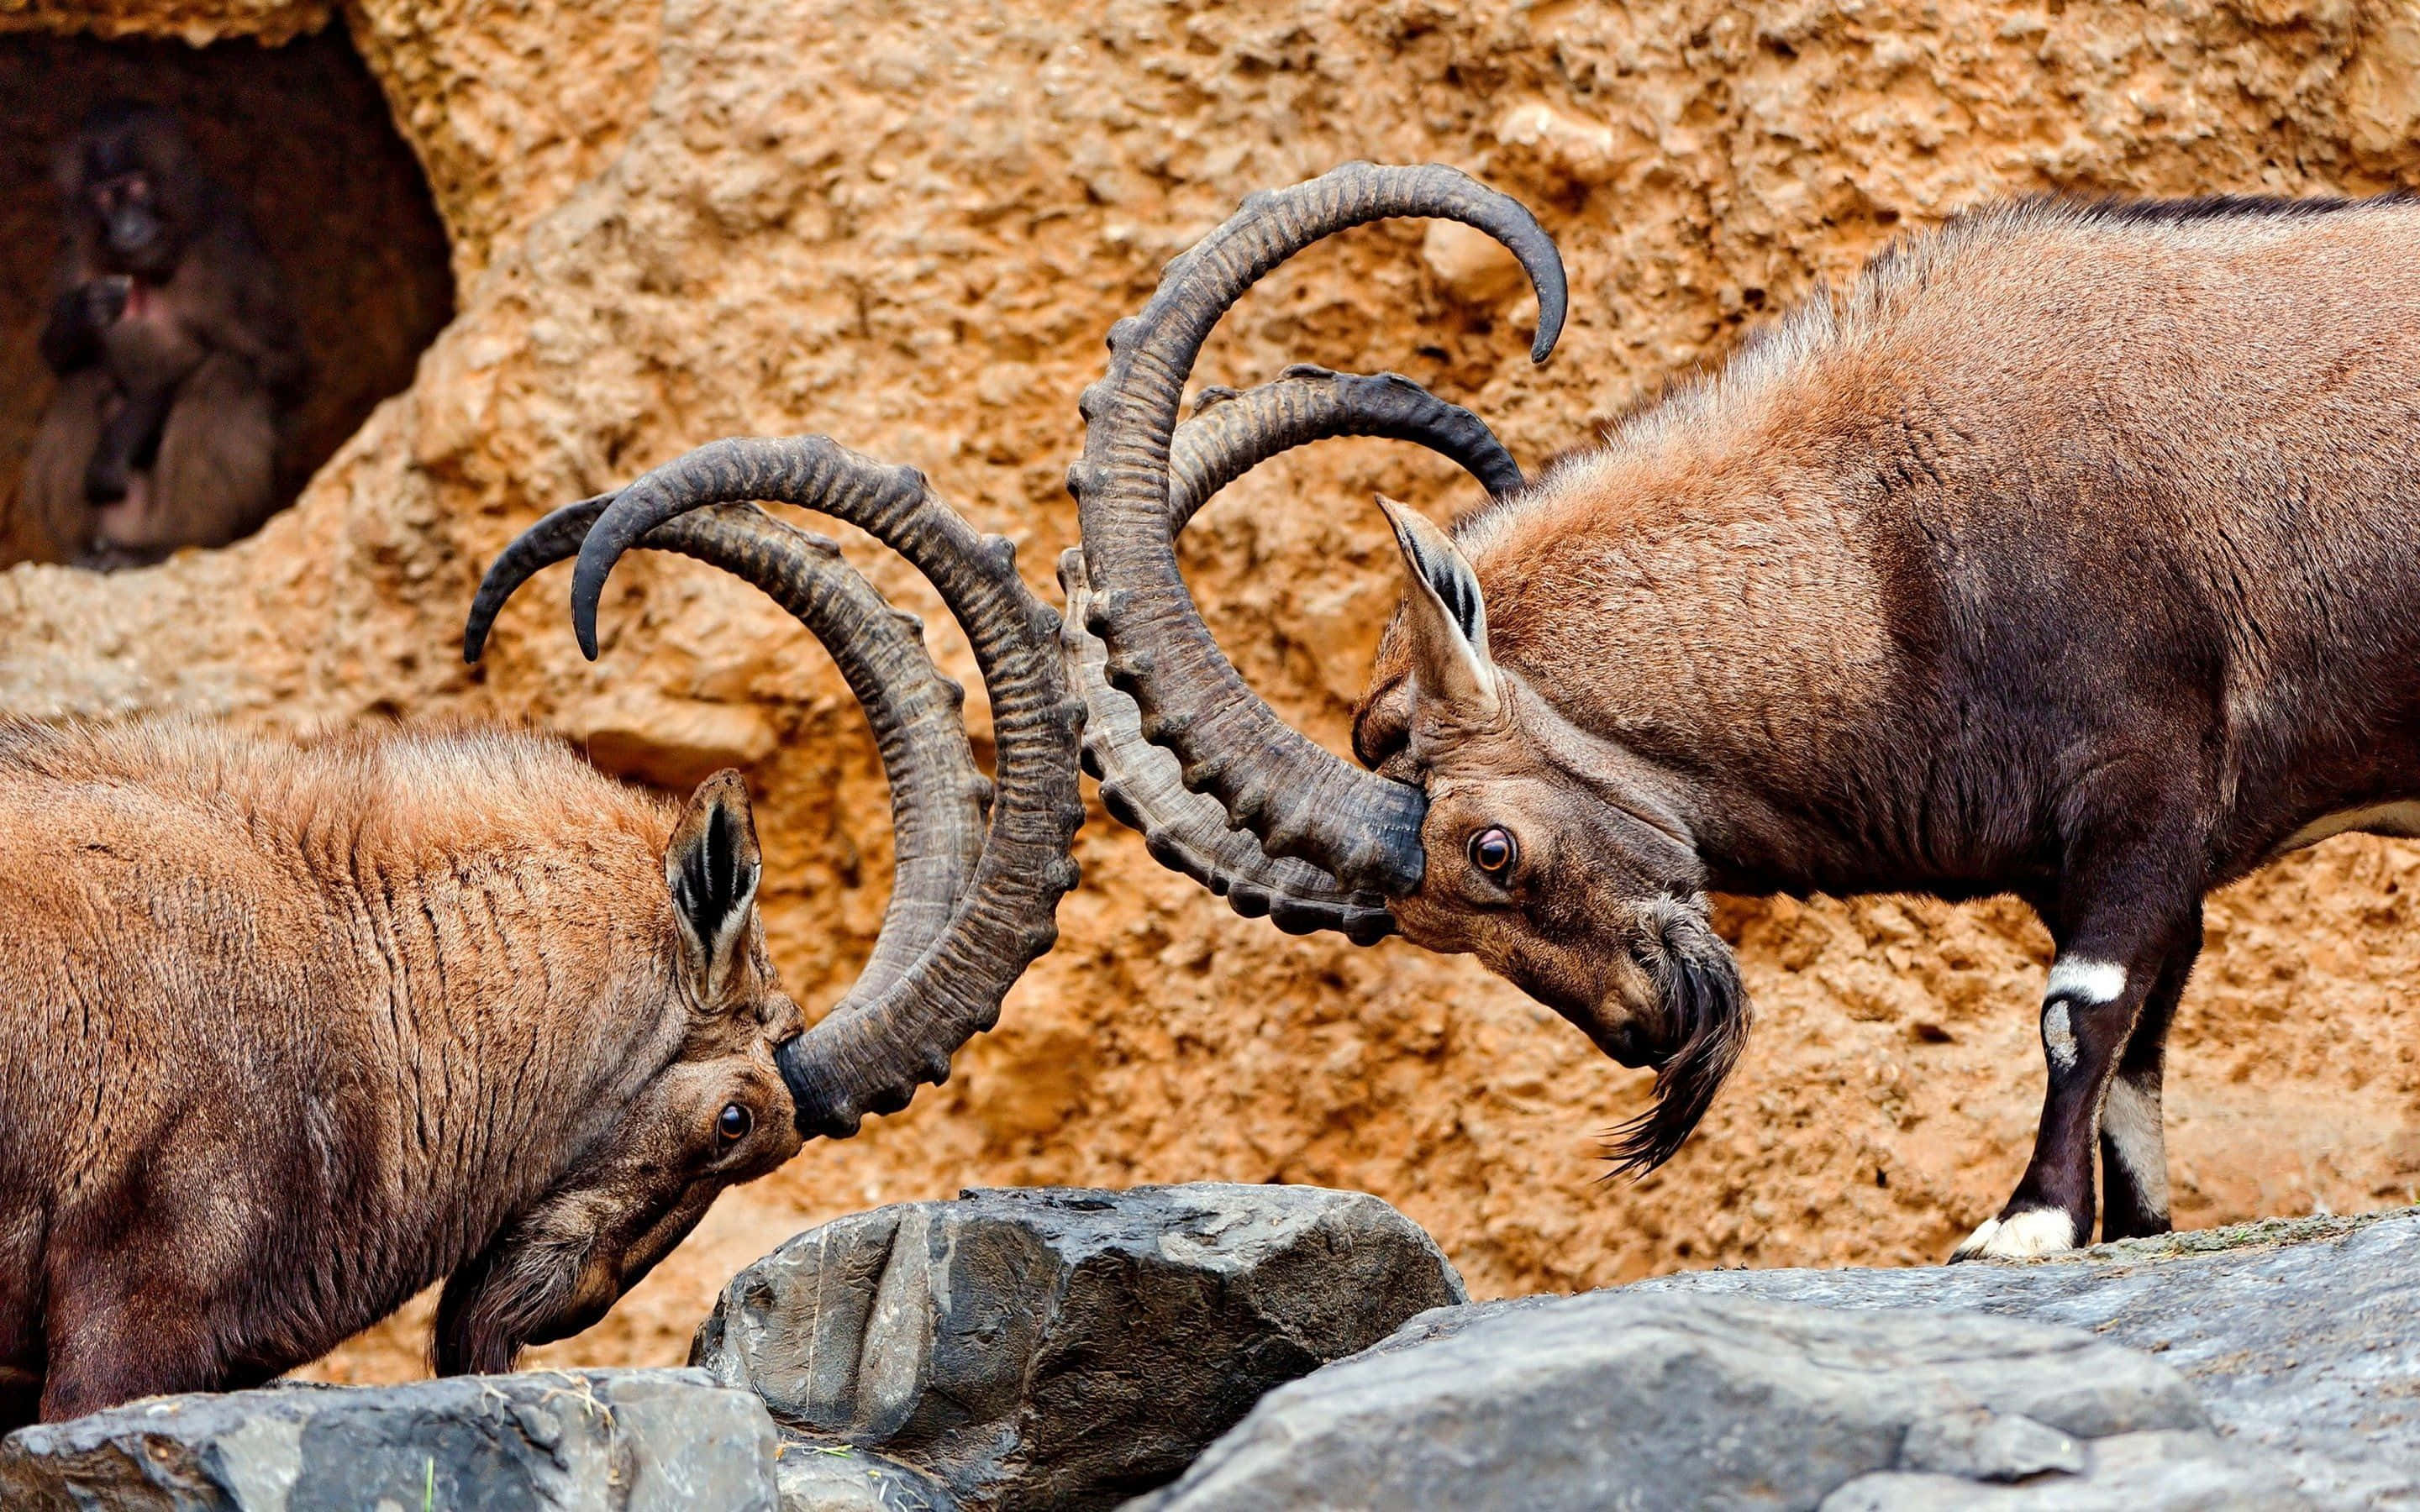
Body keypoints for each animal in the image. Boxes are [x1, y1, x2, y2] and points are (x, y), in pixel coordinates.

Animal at [1072, 164, 2420, 1260]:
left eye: (1491, 850)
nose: (1644, 1029)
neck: (1878, 545)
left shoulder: (2145, 785)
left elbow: (2079, 1012)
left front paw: (2025, 1223)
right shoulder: (2114, 860)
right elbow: (2140, 1047)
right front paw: (2134, 1232)